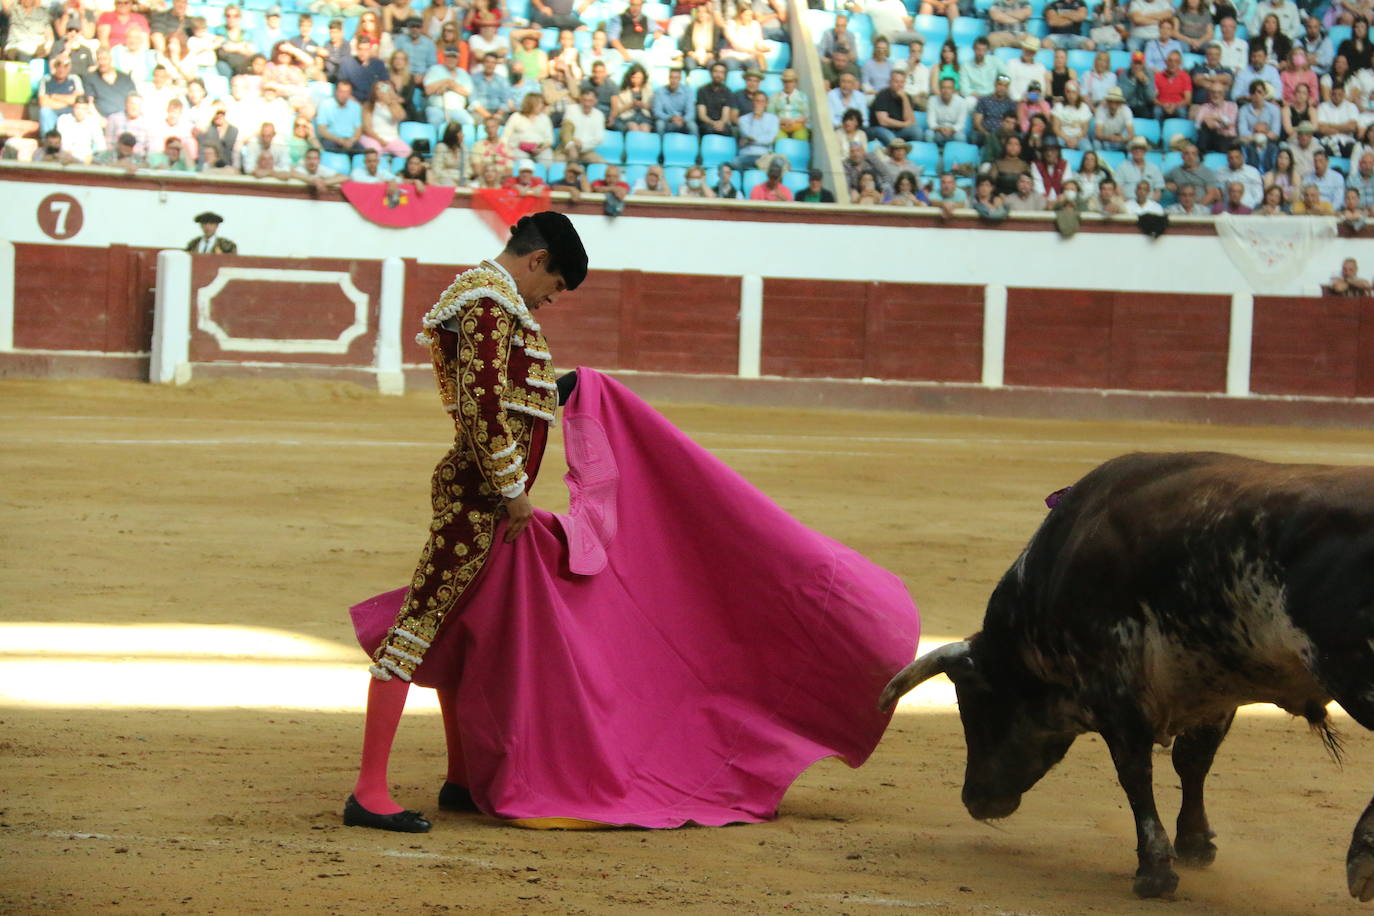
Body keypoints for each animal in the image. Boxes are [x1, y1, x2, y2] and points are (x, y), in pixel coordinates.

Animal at [884, 450, 1374, 900]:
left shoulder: (1113, 684)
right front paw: (1195, 845)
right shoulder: (1212, 685)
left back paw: (1362, 859)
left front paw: (1154, 872)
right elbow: (1192, 761)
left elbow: (1135, 772)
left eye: (975, 700)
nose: (975, 798)